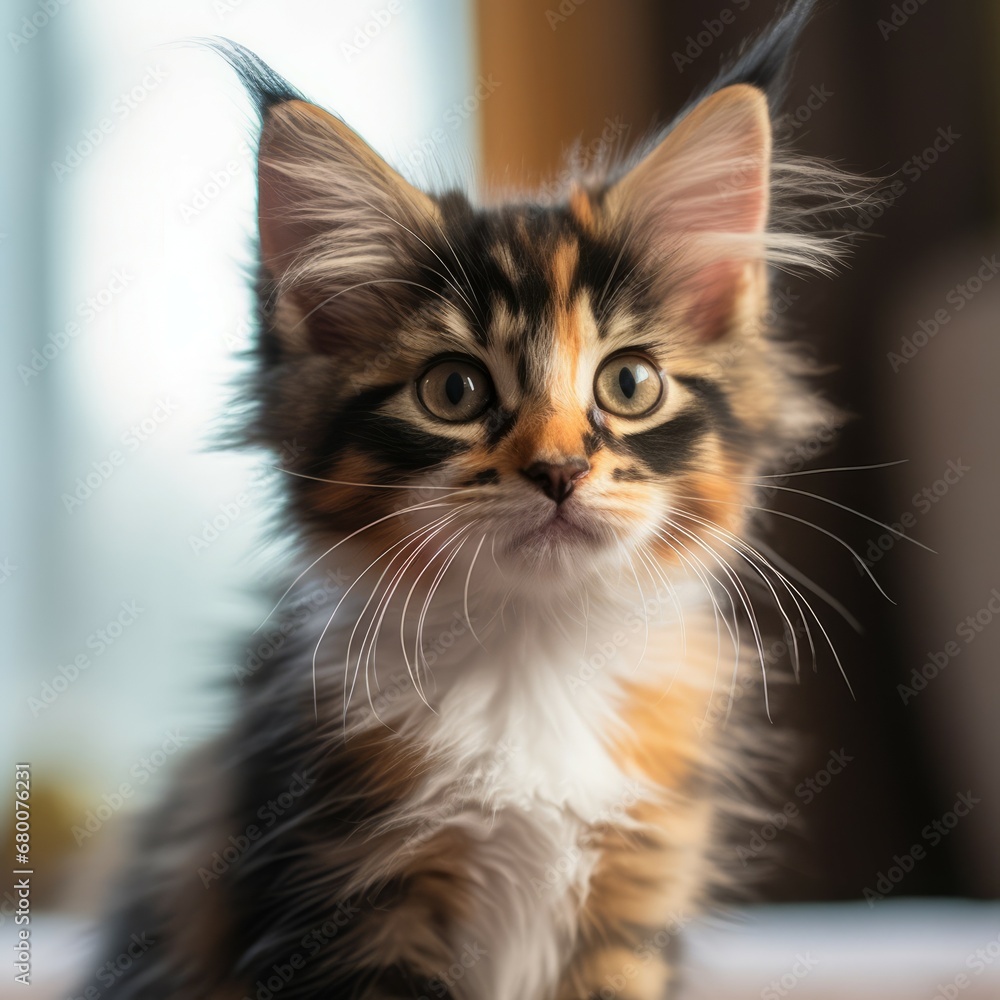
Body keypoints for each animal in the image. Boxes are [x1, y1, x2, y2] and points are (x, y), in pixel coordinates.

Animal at [88, 1, 868, 1000]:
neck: (533, 657)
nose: (560, 469)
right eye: (453, 392)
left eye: (630, 384)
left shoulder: (629, 904)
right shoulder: (340, 897)